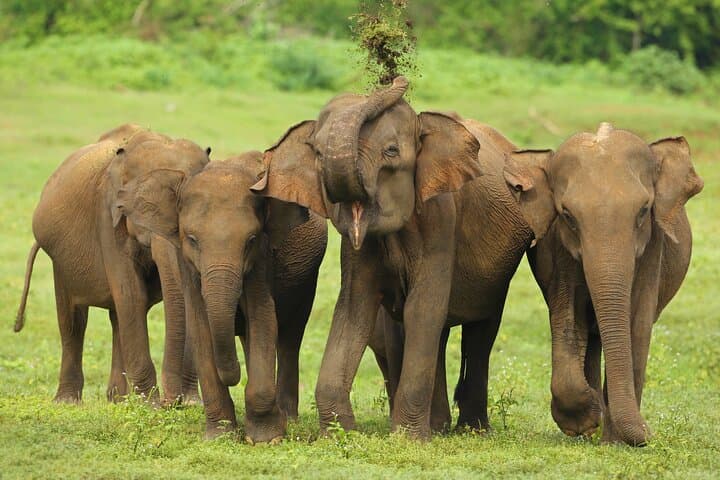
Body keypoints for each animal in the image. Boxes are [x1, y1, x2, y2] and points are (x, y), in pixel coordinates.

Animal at [15, 124, 208, 404]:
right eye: (142, 207)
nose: (173, 402)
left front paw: (190, 403)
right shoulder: (107, 215)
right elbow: (131, 294)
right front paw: (151, 405)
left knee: (118, 316)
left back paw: (118, 399)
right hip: (60, 261)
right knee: (73, 320)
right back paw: (69, 401)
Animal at [115, 151, 328, 442]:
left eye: (251, 240)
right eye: (192, 239)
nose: (233, 375)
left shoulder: (262, 259)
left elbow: (263, 318)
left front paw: (265, 440)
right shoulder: (188, 265)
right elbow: (201, 327)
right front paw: (220, 436)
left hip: (306, 278)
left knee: (289, 337)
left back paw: (288, 419)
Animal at [251, 76, 534, 438]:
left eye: (391, 152)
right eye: (316, 153)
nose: (394, 78)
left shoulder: (441, 220)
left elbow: (422, 308)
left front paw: (408, 439)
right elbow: (354, 309)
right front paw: (342, 434)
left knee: (480, 333)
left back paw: (471, 429)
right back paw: (439, 426)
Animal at [503, 122, 704, 445]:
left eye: (644, 210)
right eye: (568, 215)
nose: (650, 432)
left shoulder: (653, 249)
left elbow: (637, 325)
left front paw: (617, 441)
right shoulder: (558, 249)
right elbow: (568, 319)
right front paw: (585, 420)